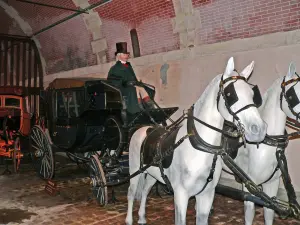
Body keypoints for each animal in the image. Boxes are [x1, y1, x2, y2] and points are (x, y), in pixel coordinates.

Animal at [124, 56, 268, 225]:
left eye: (252, 94)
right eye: (230, 94)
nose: (259, 129)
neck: (201, 148)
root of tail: (143, 128)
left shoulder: (207, 194)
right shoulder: (181, 195)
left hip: (152, 174)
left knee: (145, 190)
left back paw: (141, 217)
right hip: (135, 170)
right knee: (131, 192)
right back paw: (129, 219)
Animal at [233, 62, 300, 225]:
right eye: (293, 95)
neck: (265, 143)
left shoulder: (272, 183)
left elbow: (269, 212)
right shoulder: (250, 185)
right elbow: (249, 214)